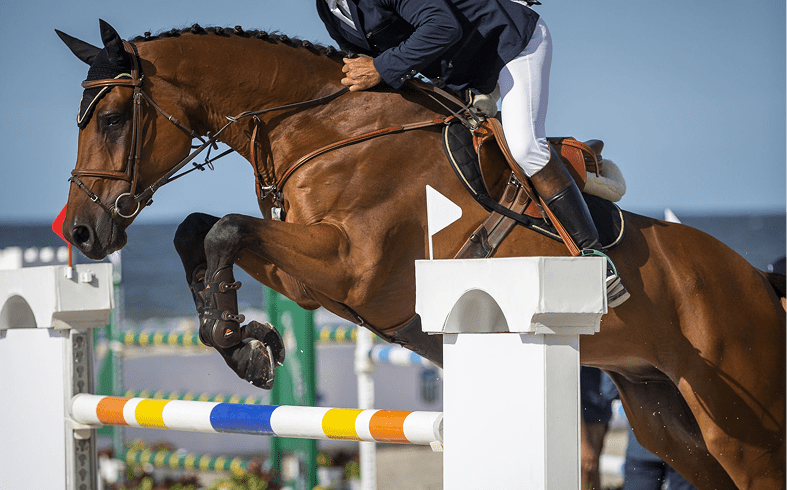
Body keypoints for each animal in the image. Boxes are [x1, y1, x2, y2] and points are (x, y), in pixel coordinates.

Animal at [56, 21, 786, 489]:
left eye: (113, 119)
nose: (84, 234)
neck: (323, 128)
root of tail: (755, 278)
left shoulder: (352, 266)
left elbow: (222, 231)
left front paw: (242, 343)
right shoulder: (309, 277)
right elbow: (200, 231)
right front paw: (244, 342)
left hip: (740, 430)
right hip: (668, 421)